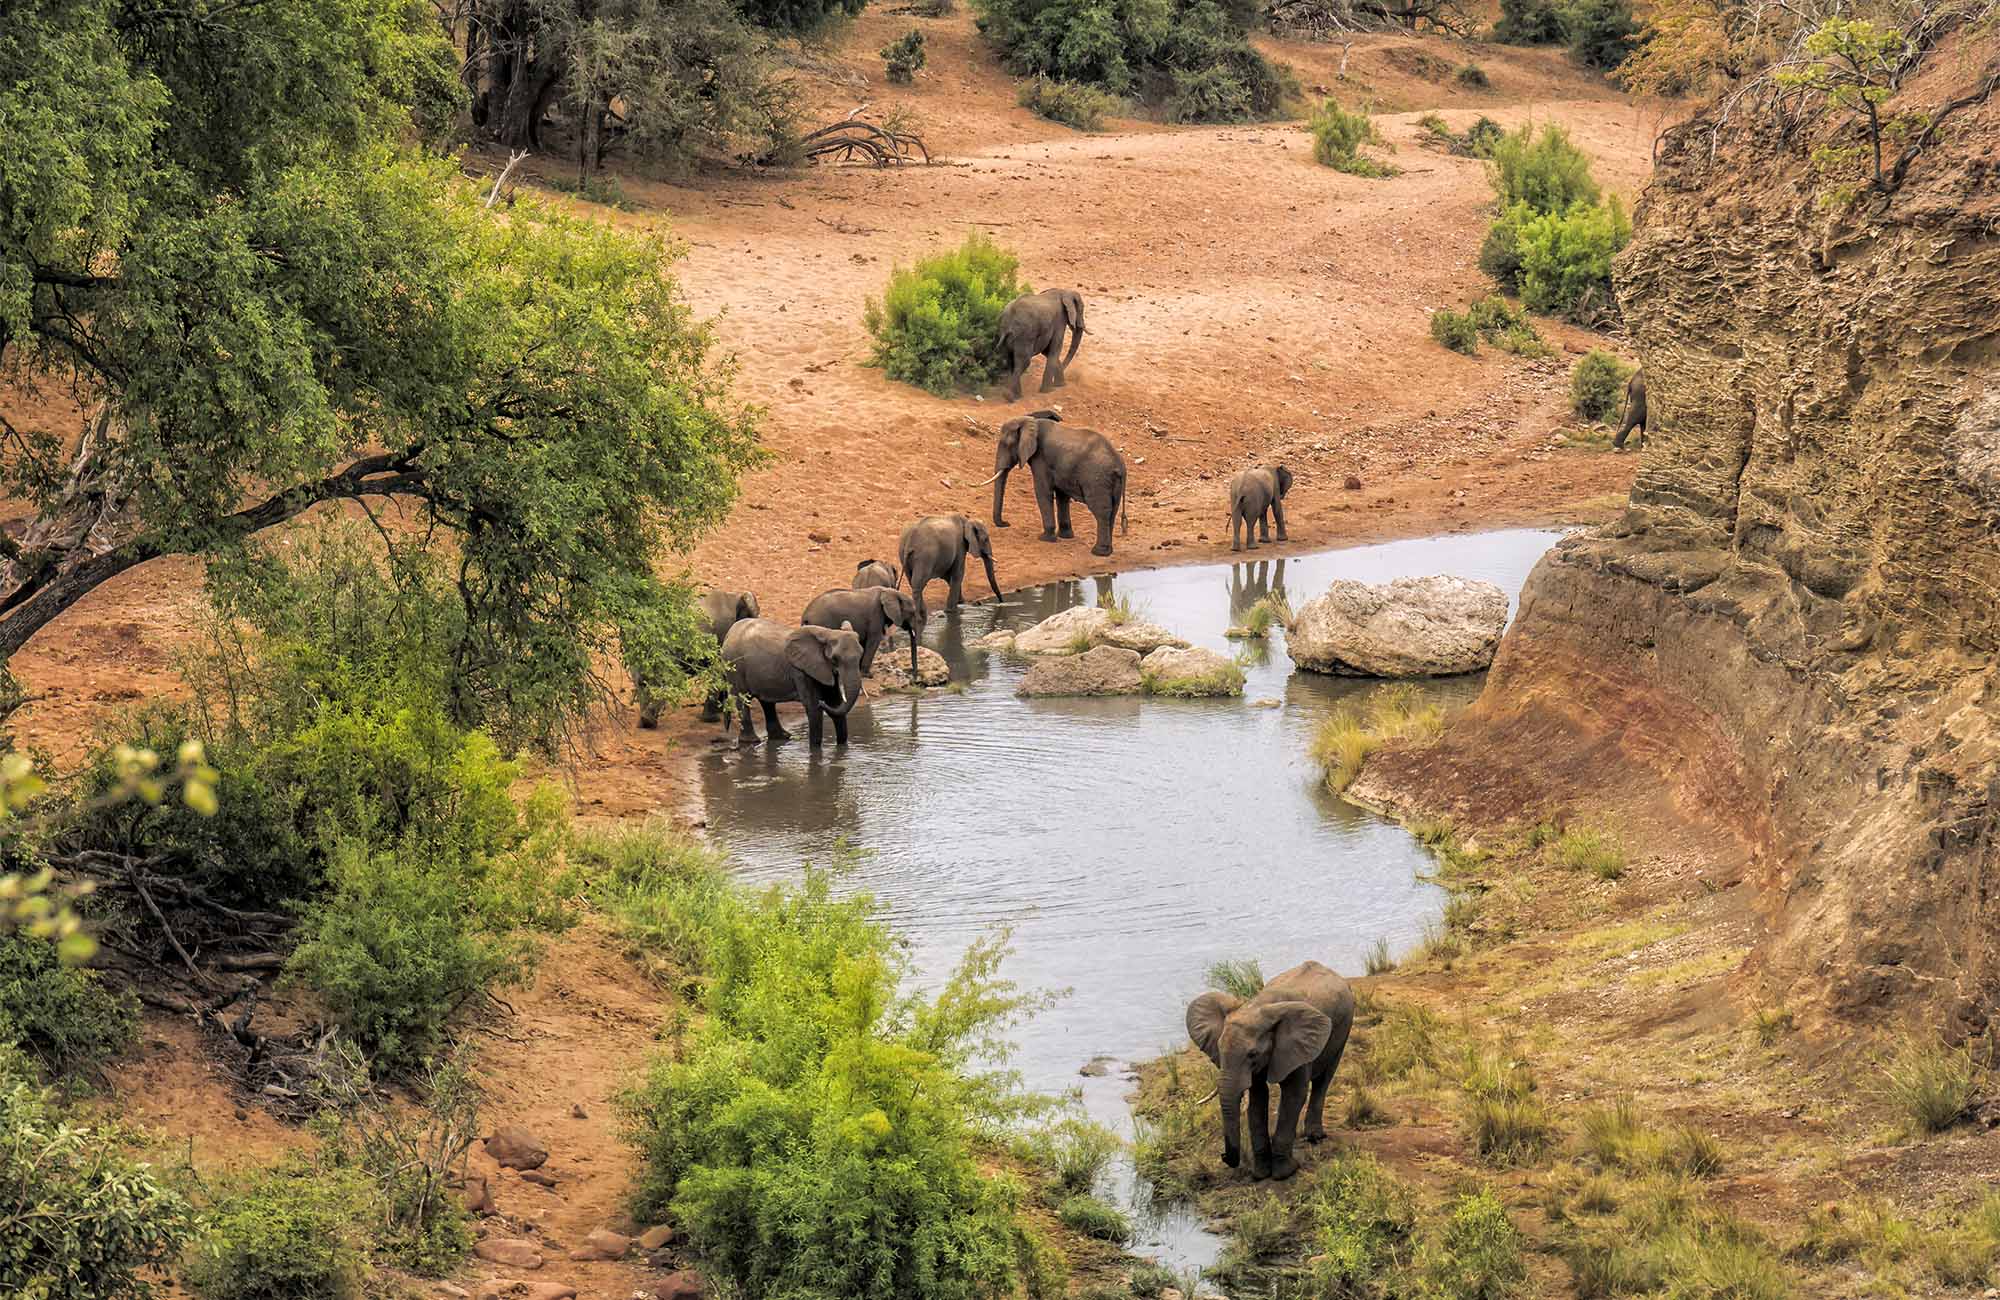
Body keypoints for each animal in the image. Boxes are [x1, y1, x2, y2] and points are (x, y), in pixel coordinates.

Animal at [718, 619, 864, 748]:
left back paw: (782, 737)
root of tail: (729, 633)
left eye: (861, 655)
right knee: (742, 699)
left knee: (766, 702)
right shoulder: (801, 671)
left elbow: (835, 703)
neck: (828, 633)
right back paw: (752, 742)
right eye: (835, 659)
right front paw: (815, 751)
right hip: (734, 665)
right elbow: (813, 706)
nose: (821, 703)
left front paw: (842, 749)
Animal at [978, 410, 1128, 558]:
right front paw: (1065, 537)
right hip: (1112, 483)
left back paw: (1098, 552)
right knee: (1112, 511)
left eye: (1006, 444)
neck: (1031, 421)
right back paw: (1107, 552)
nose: (1006, 523)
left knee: (1101, 512)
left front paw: (1045, 538)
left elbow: (1042, 491)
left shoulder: (1041, 458)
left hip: (1097, 479)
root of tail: (1120, 465)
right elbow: (1062, 496)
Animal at [1187, 960, 1355, 1182]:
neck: (1257, 1006)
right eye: (1219, 1049)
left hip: (1344, 1027)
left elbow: (1294, 1095)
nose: (1223, 1156)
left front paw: (1286, 1172)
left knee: (1324, 1079)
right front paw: (1261, 1174)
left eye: (1252, 1054)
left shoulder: (1296, 1046)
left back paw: (1315, 1138)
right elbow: (1258, 1098)